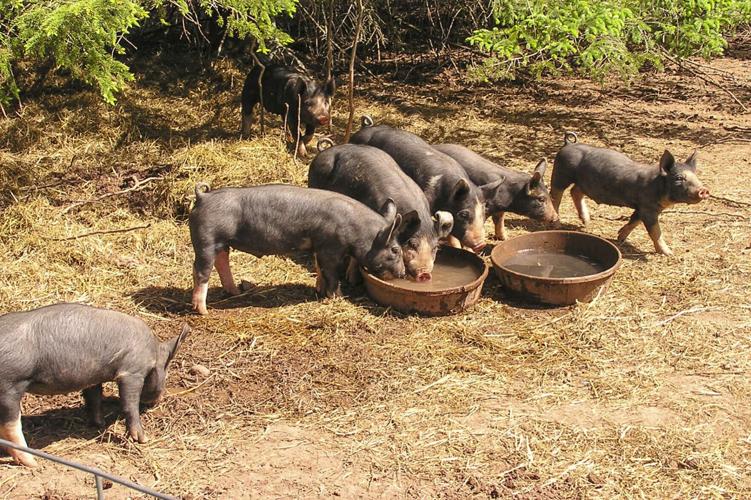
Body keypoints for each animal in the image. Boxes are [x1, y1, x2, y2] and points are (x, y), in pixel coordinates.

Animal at [0, 303, 189, 467]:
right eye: (166, 371)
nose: (158, 400)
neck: (153, 354)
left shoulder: (93, 377)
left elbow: (94, 398)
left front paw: (99, 424)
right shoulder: (132, 371)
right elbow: (129, 405)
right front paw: (142, 440)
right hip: (10, 385)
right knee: (10, 425)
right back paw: (33, 463)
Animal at [189, 183, 406, 315]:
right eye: (395, 250)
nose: (403, 274)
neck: (358, 229)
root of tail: (202, 197)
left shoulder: (318, 246)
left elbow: (319, 269)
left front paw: (319, 290)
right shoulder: (330, 247)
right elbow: (331, 273)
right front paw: (338, 298)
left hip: (222, 243)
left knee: (221, 262)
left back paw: (233, 292)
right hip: (207, 239)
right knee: (200, 271)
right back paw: (203, 311)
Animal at [550, 132, 710, 255]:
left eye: (696, 176)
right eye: (679, 178)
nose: (703, 190)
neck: (657, 187)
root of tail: (568, 144)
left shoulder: (642, 208)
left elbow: (634, 221)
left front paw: (620, 237)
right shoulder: (648, 208)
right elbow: (655, 231)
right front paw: (669, 253)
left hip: (583, 183)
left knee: (575, 191)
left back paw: (587, 222)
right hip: (560, 174)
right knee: (555, 195)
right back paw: (557, 224)